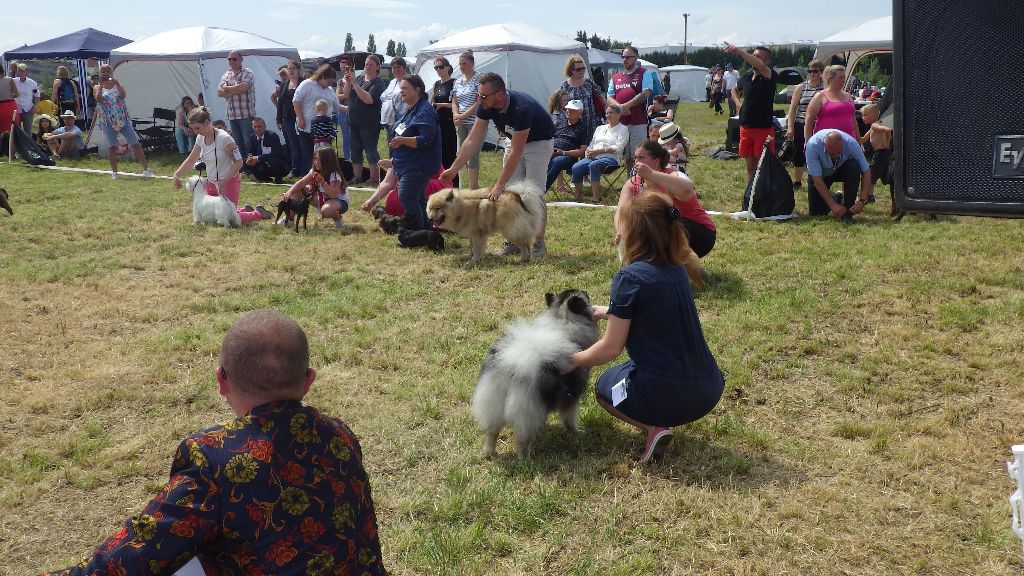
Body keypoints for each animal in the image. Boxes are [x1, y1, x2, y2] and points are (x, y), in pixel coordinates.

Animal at [471, 286, 598, 457]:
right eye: (584, 295)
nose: (586, 290)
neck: (563, 320)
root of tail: (512, 364)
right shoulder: (571, 398)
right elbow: (570, 419)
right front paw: (577, 432)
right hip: (528, 411)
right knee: (523, 440)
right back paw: (526, 458)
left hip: (493, 403)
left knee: (492, 432)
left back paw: (489, 453)